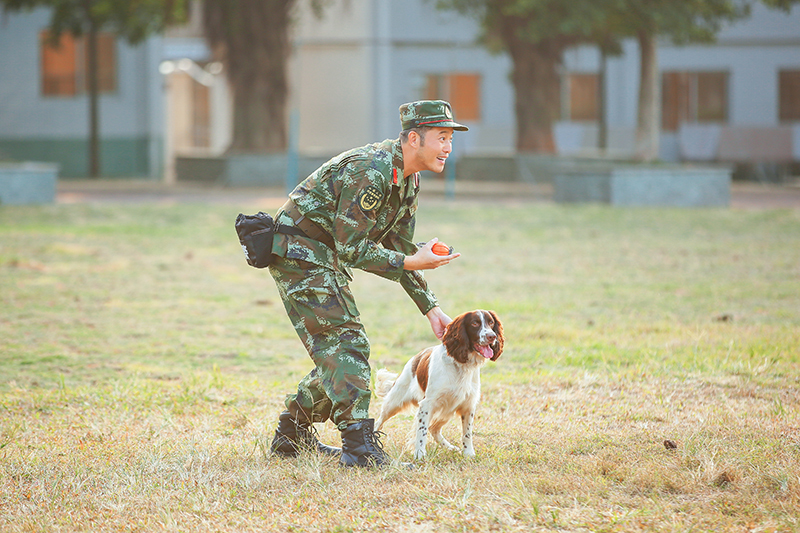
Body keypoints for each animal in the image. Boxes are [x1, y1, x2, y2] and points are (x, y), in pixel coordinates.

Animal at [376, 310, 504, 460]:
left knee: (434, 429)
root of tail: (416, 358)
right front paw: (419, 454)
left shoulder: (468, 405)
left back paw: (450, 447)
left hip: (447, 410)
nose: (492, 336)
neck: (461, 366)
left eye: (491, 322)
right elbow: (422, 430)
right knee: (379, 421)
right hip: (393, 403)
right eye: (474, 323)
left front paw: (468, 453)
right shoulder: (427, 404)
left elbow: (467, 433)